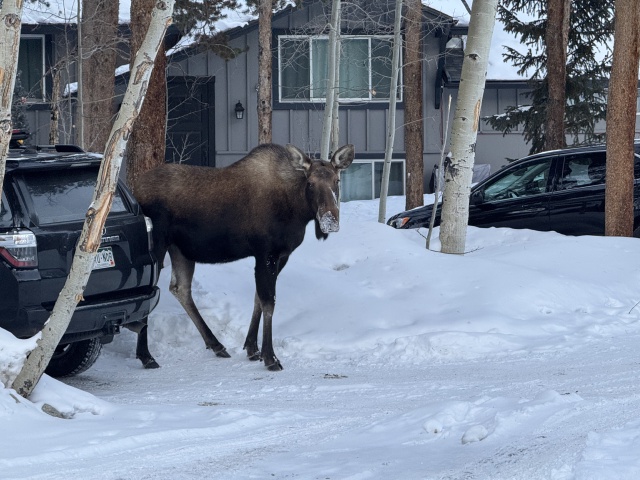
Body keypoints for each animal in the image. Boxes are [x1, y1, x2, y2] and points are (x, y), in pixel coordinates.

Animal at [131, 143, 355, 371]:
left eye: (337, 180)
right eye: (310, 183)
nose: (329, 221)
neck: (297, 210)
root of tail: (134, 189)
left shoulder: (280, 256)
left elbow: (258, 298)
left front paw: (252, 348)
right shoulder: (266, 253)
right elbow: (268, 301)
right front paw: (270, 357)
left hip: (180, 250)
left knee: (180, 288)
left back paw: (216, 345)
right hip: (158, 247)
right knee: (152, 292)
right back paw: (146, 356)